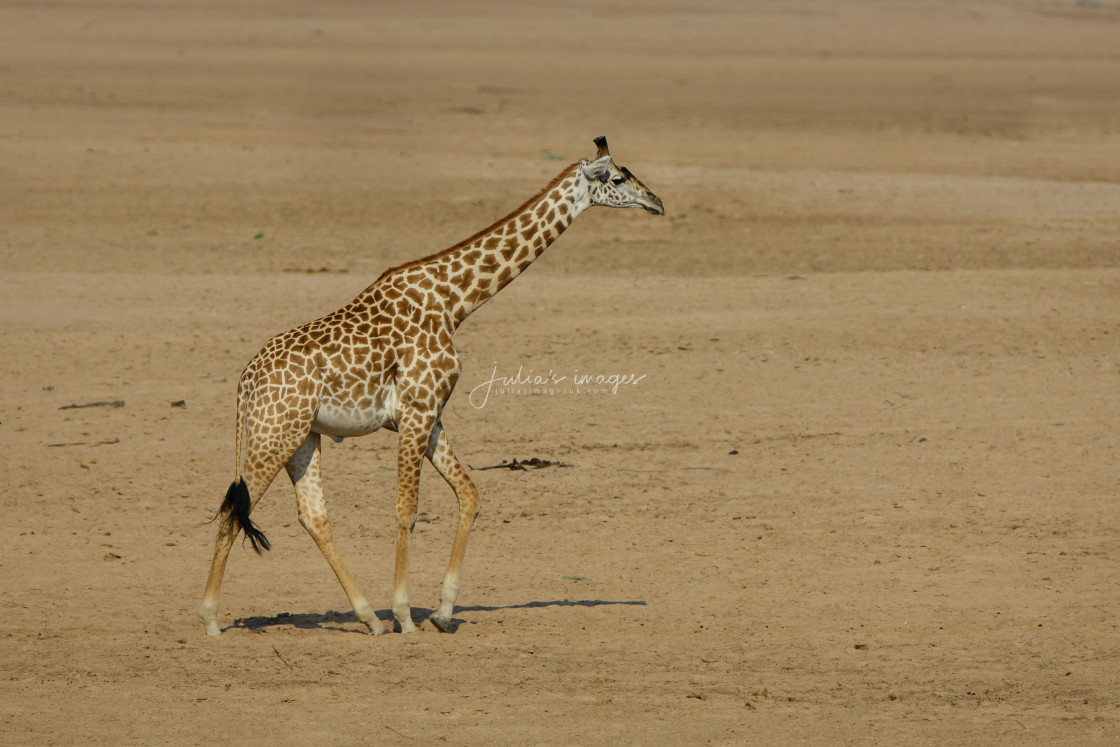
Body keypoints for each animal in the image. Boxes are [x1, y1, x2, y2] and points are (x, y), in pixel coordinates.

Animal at [199, 136, 663, 636]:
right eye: (616, 177)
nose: (656, 202)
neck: (453, 301)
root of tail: (245, 381)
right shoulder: (417, 411)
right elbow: (408, 509)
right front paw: (406, 614)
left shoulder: (431, 414)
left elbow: (470, 495)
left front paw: (443, 610)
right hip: (275, 434)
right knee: (234, 509)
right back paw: (211, 619)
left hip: (302, 436)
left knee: (312, 517)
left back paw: (369, 618)